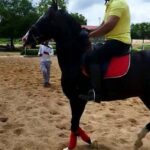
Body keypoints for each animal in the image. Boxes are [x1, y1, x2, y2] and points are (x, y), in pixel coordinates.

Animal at [24, 2, 149, 150]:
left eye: (45, 18)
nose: (25, 38)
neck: (76, 58)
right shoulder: (75, 100)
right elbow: (74, 124)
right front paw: (87, 139)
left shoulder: (77, 99)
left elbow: (74, 124)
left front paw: (75, 144)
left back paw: (138, 140)